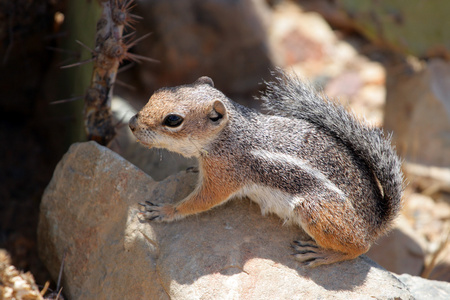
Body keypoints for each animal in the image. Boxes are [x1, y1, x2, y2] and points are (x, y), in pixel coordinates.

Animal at [127, 72, 404, 268]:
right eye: (157, 92)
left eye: (173, 120)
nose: (131, 123)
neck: (229, 135)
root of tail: (376, 221)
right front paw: (193, 171)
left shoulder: (226, 173)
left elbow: (202, 200)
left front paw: (165, 210)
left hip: (317, 210)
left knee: (360, 248)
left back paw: (321, 254)